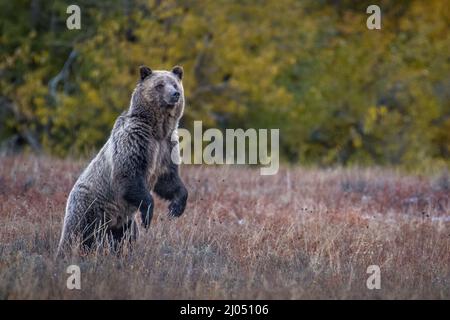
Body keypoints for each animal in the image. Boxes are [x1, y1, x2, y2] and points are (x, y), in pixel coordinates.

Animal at [58, 65, 188, 255]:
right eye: (160, 85)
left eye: (175, 84)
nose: (175, 94)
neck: (157, 130)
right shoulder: (134, 142)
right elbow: (128, 174)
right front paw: (148, 216)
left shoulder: (166, 148)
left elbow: (168, 180)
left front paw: (176, 207)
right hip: (92, 209)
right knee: (81, 234)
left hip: (124, 223)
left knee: (125, 237)